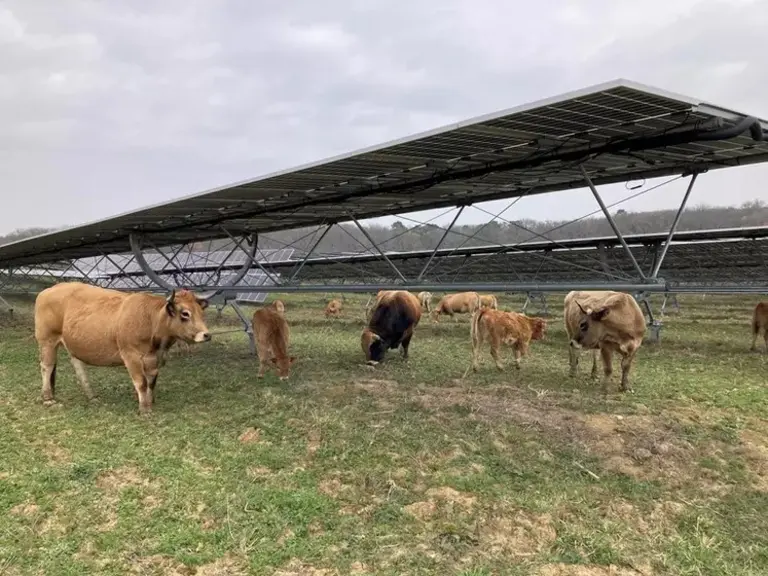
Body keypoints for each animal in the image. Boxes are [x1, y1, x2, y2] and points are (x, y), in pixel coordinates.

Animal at [33, 282, 211, 415]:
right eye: (185, 313)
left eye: (201, 312)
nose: (206, 335)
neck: (150, 320)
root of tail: (49, 290)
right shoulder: (131, 356)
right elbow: (141, 382)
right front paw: (144, 409)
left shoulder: (153, 359)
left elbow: (151, 381)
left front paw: (149, 400)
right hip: (47, 340)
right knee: (47, 367)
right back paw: (48, 399)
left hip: (73, 344)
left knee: (78, 367)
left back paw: (92, 396)